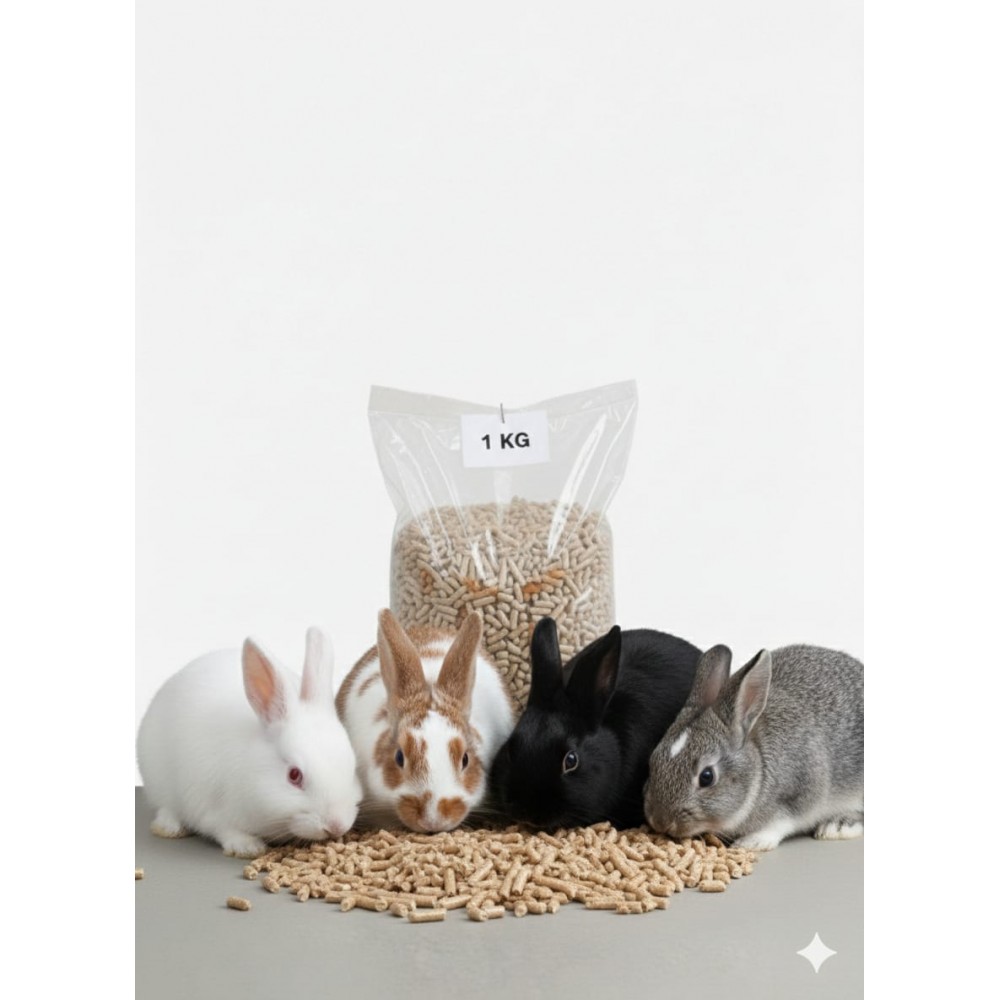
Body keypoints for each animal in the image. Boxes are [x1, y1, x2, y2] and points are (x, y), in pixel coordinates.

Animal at [137, 627, 362, 857]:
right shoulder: (209, 808)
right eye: (294, 775)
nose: (336, 825)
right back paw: (169, 828)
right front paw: (247, 847)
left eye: (352, 769)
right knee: (166, 807)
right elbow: (223, 829)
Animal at [643, 643, 864, 850]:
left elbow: (781, 823)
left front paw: (751, 842)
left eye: (707, 777)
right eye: (653, 762)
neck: (758, 763)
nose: (661, 822)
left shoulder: (801, 791)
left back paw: (837, 826)